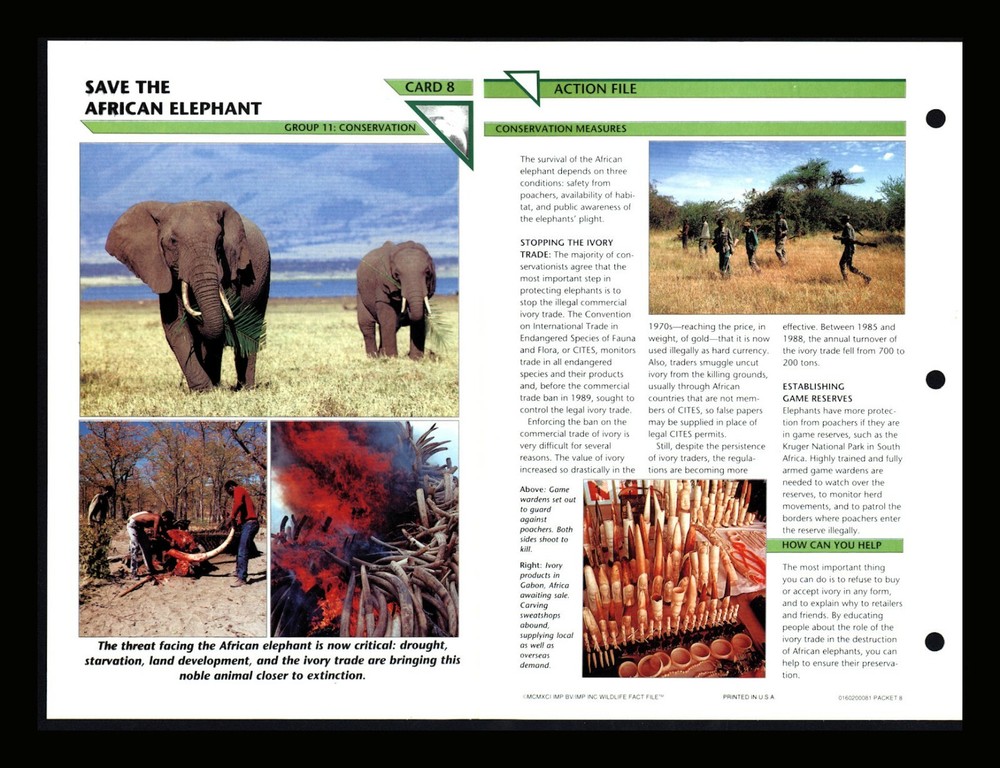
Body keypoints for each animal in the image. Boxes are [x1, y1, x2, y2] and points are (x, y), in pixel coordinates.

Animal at [105, 200, 271, 391]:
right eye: (173, 241)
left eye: (219, 241)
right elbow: (175, 327)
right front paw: (204, 390)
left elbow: (217, 328)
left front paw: (209, 388)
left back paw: (245, 387)